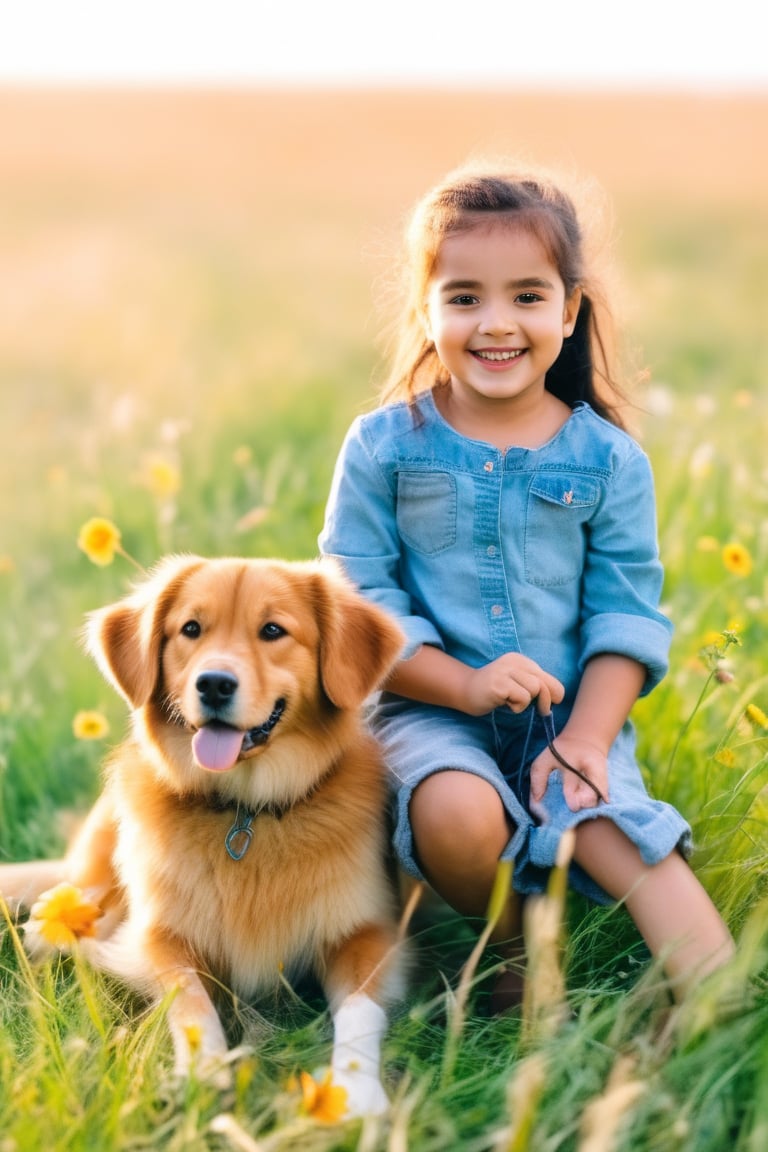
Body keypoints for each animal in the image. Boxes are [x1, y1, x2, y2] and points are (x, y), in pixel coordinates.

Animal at [0, 557, 407, 1115]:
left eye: (273, 630)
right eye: (191, 629)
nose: (214, 683)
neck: (245, 813)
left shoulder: (368, 933)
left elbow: (360, 1009)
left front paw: (355, 1091)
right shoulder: (160, 936)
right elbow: (190, 1001)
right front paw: (204, 1072)